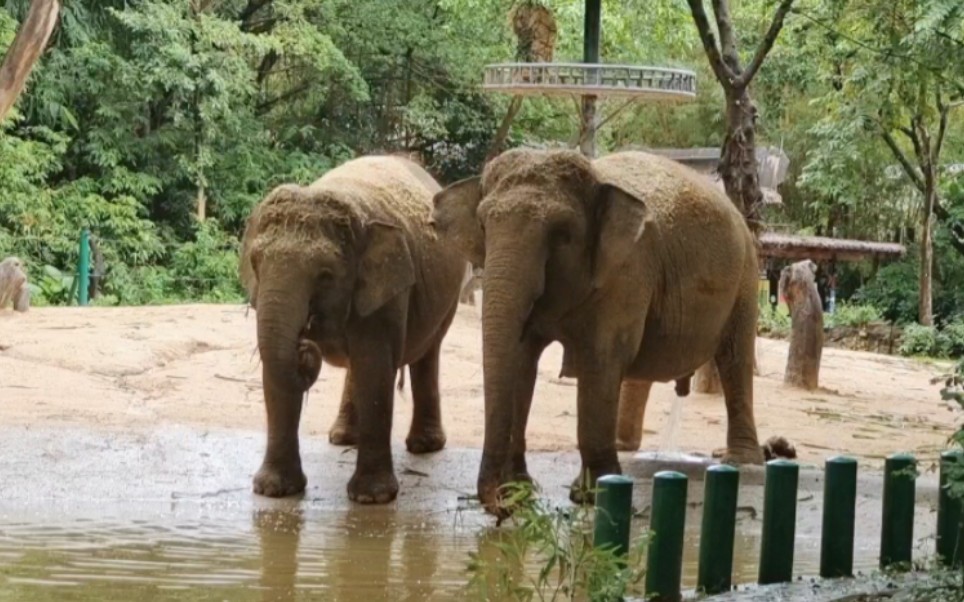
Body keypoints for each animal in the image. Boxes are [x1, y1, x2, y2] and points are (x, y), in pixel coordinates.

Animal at [241, 154, 466, 502]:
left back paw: (424, 446)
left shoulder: (388, 289)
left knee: (427, 353)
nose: (305, 345)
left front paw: (371, 498)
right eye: (255, 263)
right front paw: (273, 491)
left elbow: (374, 366)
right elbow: (274, 373)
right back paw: (344, 438)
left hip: (449, 294)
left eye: (325, 275)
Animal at [434, 148, 764, 512]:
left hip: (748, 275)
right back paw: (624, 444)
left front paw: (592, 495)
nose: (500, 503)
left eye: (562, 234)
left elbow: (600, 360)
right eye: (482, 225)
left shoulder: (626, 272)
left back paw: (741, 460)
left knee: (735, 358)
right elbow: (522, 361)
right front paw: (525, 490)